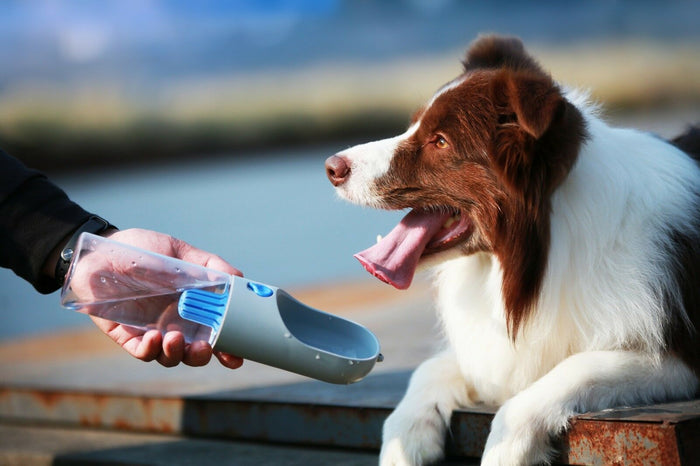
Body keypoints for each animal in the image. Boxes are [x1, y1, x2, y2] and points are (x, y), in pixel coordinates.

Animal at [326, 34, 696, 464]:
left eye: (440, 141)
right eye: (414, 125)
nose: (331, 167)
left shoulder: (680, 355)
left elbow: (569, 370)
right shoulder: (493, 349)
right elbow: (430, 368)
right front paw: (406, 442)